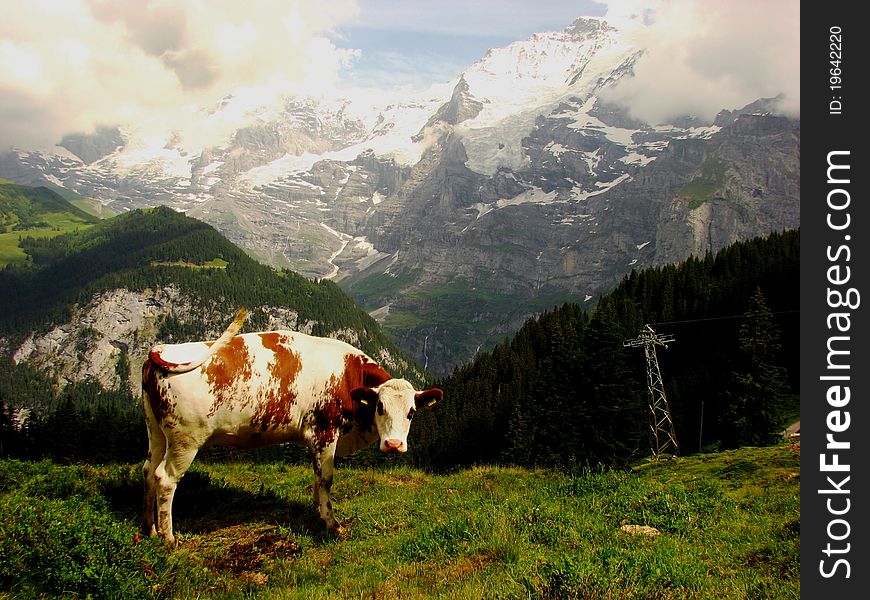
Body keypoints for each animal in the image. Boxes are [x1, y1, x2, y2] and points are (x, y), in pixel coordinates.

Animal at [144, 310, 446, 544]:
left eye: (411, 412)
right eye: (380, 406)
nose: (394, 445)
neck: (347, 374)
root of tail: (162, 349)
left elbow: (317, 478)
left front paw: (317, 512)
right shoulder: (324, 431)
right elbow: (326, 479)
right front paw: (332, 523)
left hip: (157, 433)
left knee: (148, 470)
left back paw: (150, 529)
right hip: (186, 439)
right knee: (165, 478)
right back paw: (169, 538)